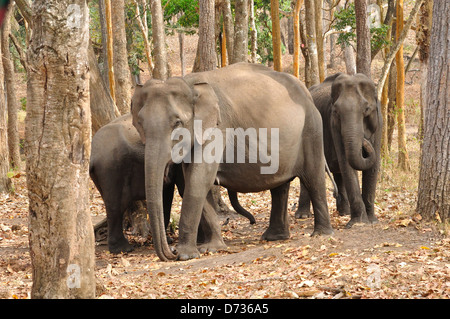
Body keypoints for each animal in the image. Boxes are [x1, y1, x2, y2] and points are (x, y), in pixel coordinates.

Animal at [89, 114, 255, 254]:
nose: (252, 222)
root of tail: (92, 155)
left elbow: (167, 195)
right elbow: (184, 189)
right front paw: (199, 242)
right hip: (111, 170)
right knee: (116, 207)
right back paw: (123, 249)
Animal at [130, 62, 334, 262]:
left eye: (178, 123)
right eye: (140, 123)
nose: (170, 252)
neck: (189, 83)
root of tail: (306, 91)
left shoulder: (217, 128)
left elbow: (198, 180)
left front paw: (186, 255)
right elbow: (192, 182)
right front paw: (211, 249)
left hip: (312, 129)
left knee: (314, 178)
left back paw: (321, 234)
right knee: (280, 187)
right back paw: (274, 237)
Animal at [298, 73, 382, 229]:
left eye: (366, 109)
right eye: (336, 111)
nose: (364, 140)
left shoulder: (379, 123)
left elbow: (373, 166)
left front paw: (372, 220)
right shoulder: (334, 125)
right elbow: (346, 164)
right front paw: (358, 223)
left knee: (338, 174)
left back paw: (344, 213)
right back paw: (302, 216)